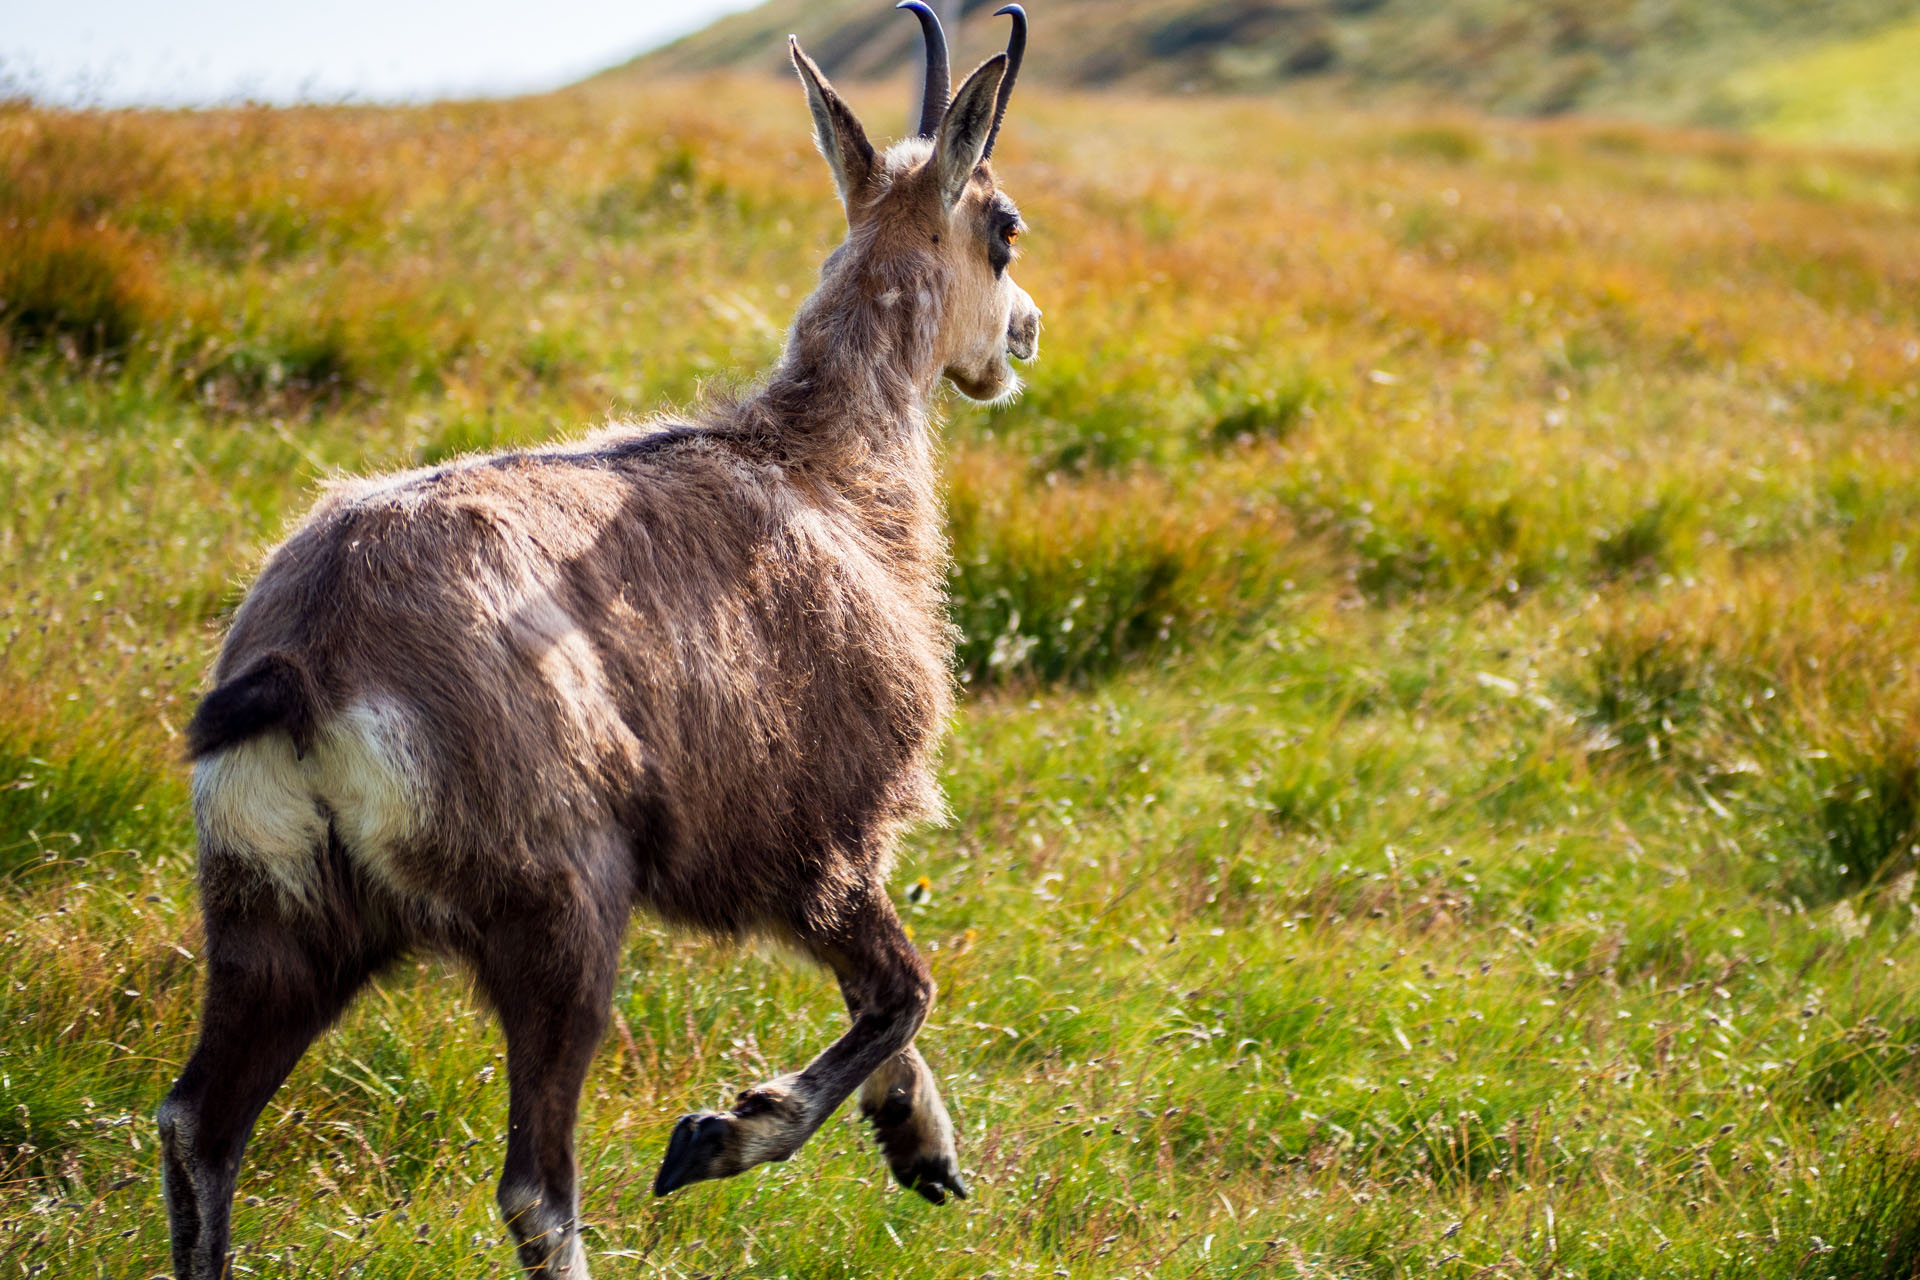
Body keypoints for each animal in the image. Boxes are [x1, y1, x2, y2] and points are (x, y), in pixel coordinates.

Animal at [157, 5, 1044, 1274]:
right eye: (1003, 229)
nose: (1022, 336)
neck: (825, 472)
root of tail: (307, 663)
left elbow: (885, 998)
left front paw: (920, 1143)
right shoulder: (816, 835)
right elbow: (901, 989)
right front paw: (732, 1129)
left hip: (274, 915)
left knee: (200, 1125)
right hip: (559, 911)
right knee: (537, 1183)